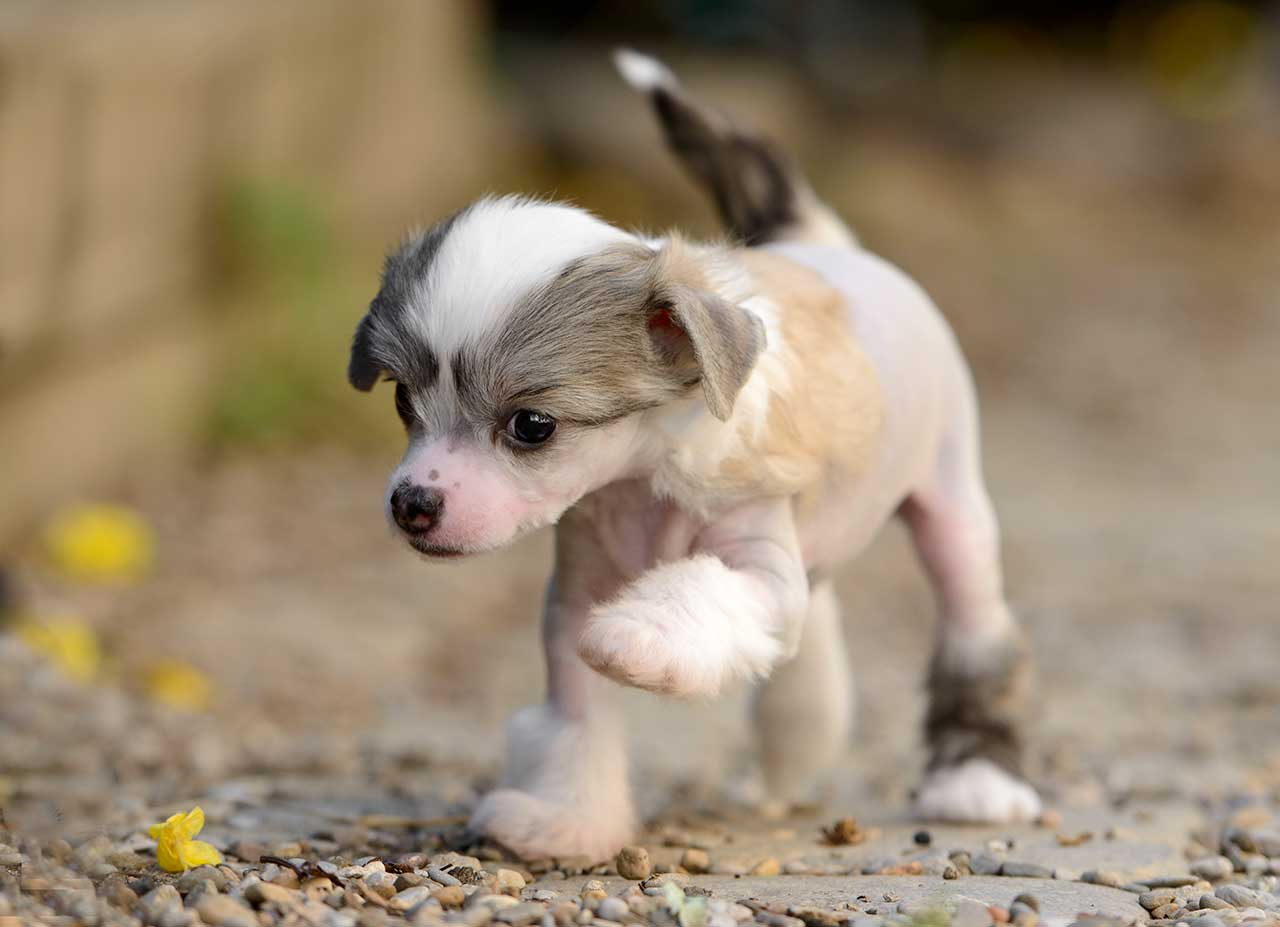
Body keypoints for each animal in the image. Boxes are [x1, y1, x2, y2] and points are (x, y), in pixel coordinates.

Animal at [348, 50, 1039, 860]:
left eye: (531, 425)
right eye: (403, 400)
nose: (412, 504)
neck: (644, 477)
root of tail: (829, 245)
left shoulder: (759, 569)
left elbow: (696, 594)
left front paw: (640, 635)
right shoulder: (576, 591)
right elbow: (575, 717)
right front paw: (567, 819)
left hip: (954, 512)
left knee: (977, 634)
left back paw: (978, 779)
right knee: (808, 660)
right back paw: (784, 767)